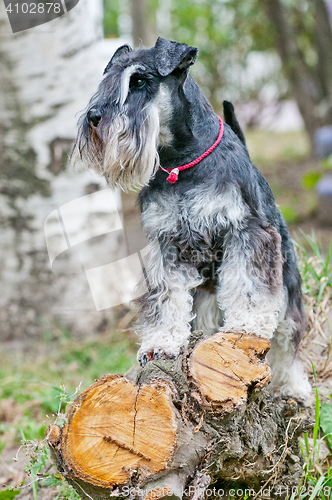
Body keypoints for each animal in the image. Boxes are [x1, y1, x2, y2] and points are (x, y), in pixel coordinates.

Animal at [72, 37, 312, 400]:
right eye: (109, 79)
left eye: (139, 80)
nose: (94, 117)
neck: (181, 162)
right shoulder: (166, 244)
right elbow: (168, 298)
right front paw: (161, 343)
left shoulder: (246, 232)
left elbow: (250, 287)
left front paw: (247, 324)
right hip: (207, 294)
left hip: (287, 281)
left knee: (289, 336)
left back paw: (293, 386)